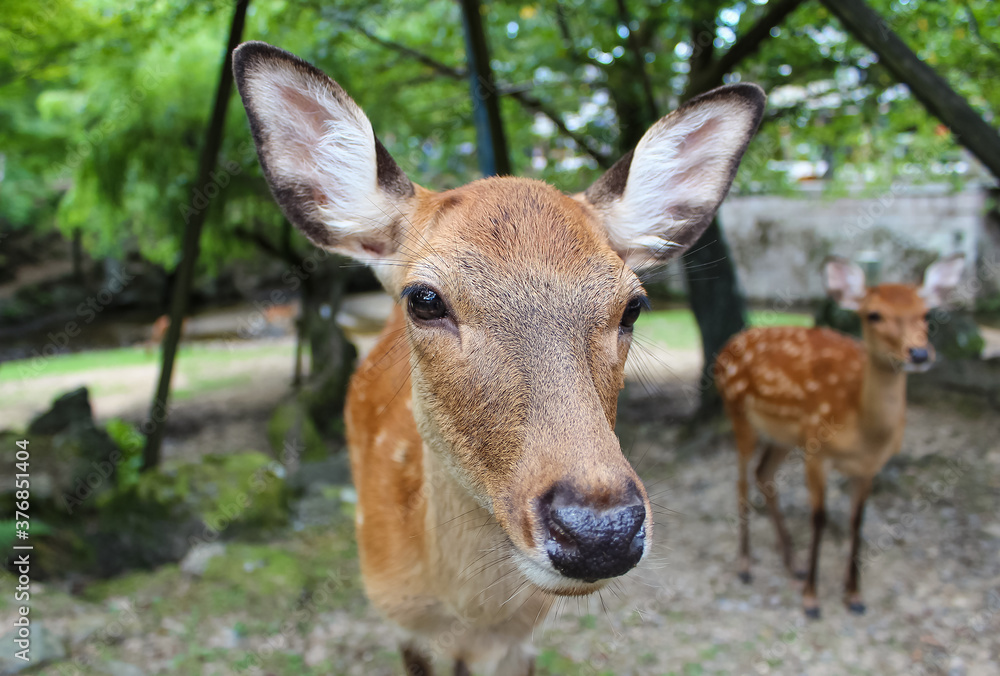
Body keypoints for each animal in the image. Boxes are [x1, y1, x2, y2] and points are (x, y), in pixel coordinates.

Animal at [234, 39, 764, 672]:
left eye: (633, 305)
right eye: (425, 299)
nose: (600, 534)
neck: (467, 615)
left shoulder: (521, 636)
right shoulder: (400, 620)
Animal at [716, 254, 964, 616]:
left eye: (926, 314)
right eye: (874, 314)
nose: (919, 353)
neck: (862, 429)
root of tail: (725, 348)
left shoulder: (869, 465)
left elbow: (856, 521)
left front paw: (854, 596)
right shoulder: (816, 449)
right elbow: (819, 518)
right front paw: (811, 599)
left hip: (783, 436)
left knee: (764, 474)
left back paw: (792, 563)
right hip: (739, 412)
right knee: (741, 481)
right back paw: (746, 566)